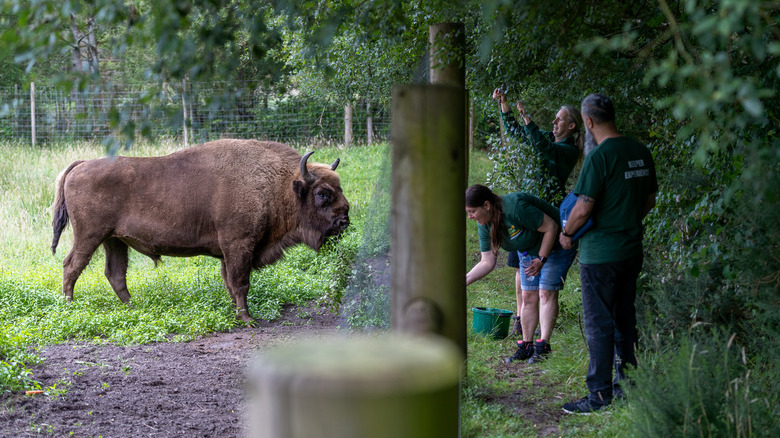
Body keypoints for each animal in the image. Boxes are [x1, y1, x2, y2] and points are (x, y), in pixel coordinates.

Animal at [50, 139, 348, 324]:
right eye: (322, 194)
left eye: (340, 187)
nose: (344, 220)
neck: (276, 183)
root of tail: (81, 164)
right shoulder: (239, 245)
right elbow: (241, 282)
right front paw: (247, 318)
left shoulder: (230, 253)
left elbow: (230, 283)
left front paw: (237, 313)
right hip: (89, 236)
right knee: (72, 265)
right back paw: (69, 304)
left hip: (114, 240)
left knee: (115, 273)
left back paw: (134, 307)